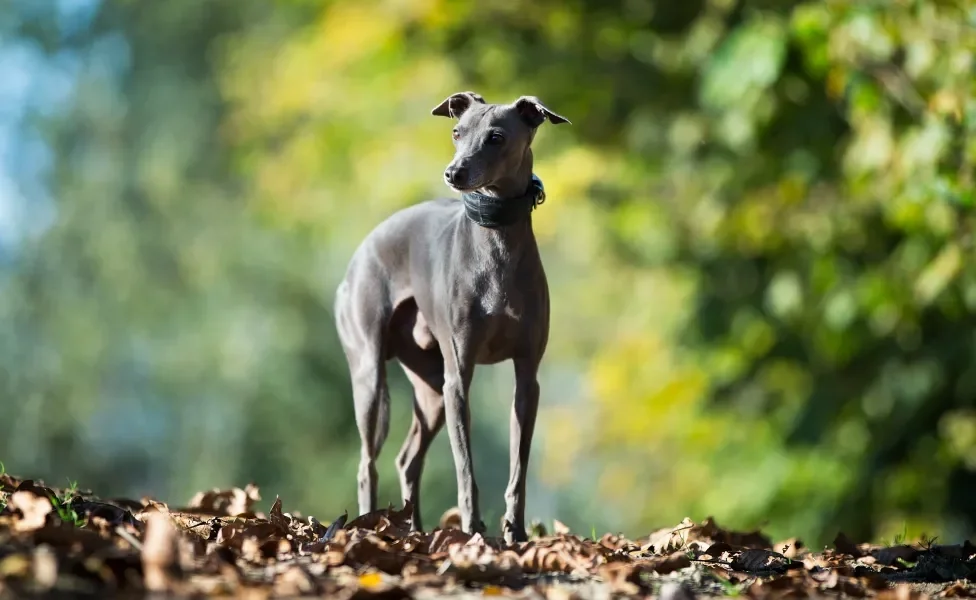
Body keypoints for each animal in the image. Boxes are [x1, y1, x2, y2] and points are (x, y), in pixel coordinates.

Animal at [334, 90, 568, 544]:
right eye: (457, 132)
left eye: (496, 137)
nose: (453, 172)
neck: (496, 243)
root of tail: (358, 256)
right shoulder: (459, 376)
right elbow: (466, 466)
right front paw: (472, 527)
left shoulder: (526, 378)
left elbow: (518, 468)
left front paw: (515, 532)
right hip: (372, 376)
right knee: (367, 464)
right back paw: (369, 526)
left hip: (430, 391)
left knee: (407, 460)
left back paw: (413, 530)